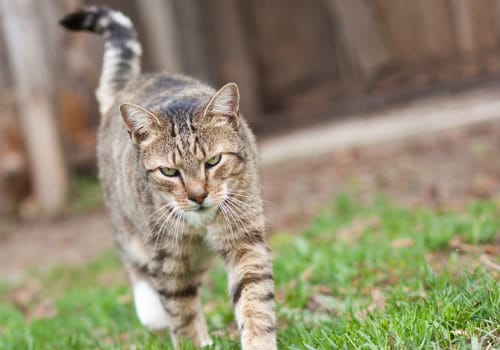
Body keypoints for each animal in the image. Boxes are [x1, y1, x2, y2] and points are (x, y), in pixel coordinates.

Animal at [59, 5, 278, 350]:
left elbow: (254, 300)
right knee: (137, 270)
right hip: (129, 231)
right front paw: (190, 339)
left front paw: (257, 341)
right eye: (169, 172)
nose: (198, 196)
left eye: (213, 161)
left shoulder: (245, 241)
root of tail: (129, 81)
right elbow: (181, 312)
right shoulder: (167, 258)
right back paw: (152, 311)